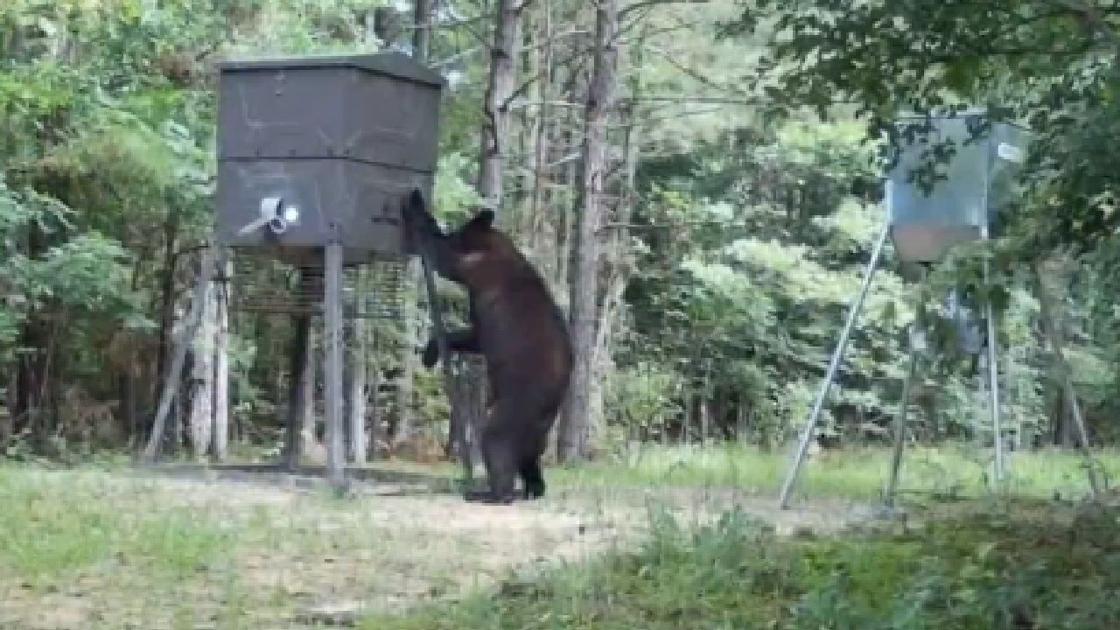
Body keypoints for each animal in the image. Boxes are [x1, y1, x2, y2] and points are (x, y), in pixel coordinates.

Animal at [402, 189, 573, 504]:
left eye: (458, 232)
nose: (452, 231)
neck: (496, 247)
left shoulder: (477, 269)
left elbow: (443, 259)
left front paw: (418, 208)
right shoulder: (484, 323)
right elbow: (471, 338)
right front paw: (432, 353)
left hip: (516, 408)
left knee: (497, 443)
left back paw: (490, 492)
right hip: (538, 430)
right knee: (530, 458)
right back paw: (533, 487)